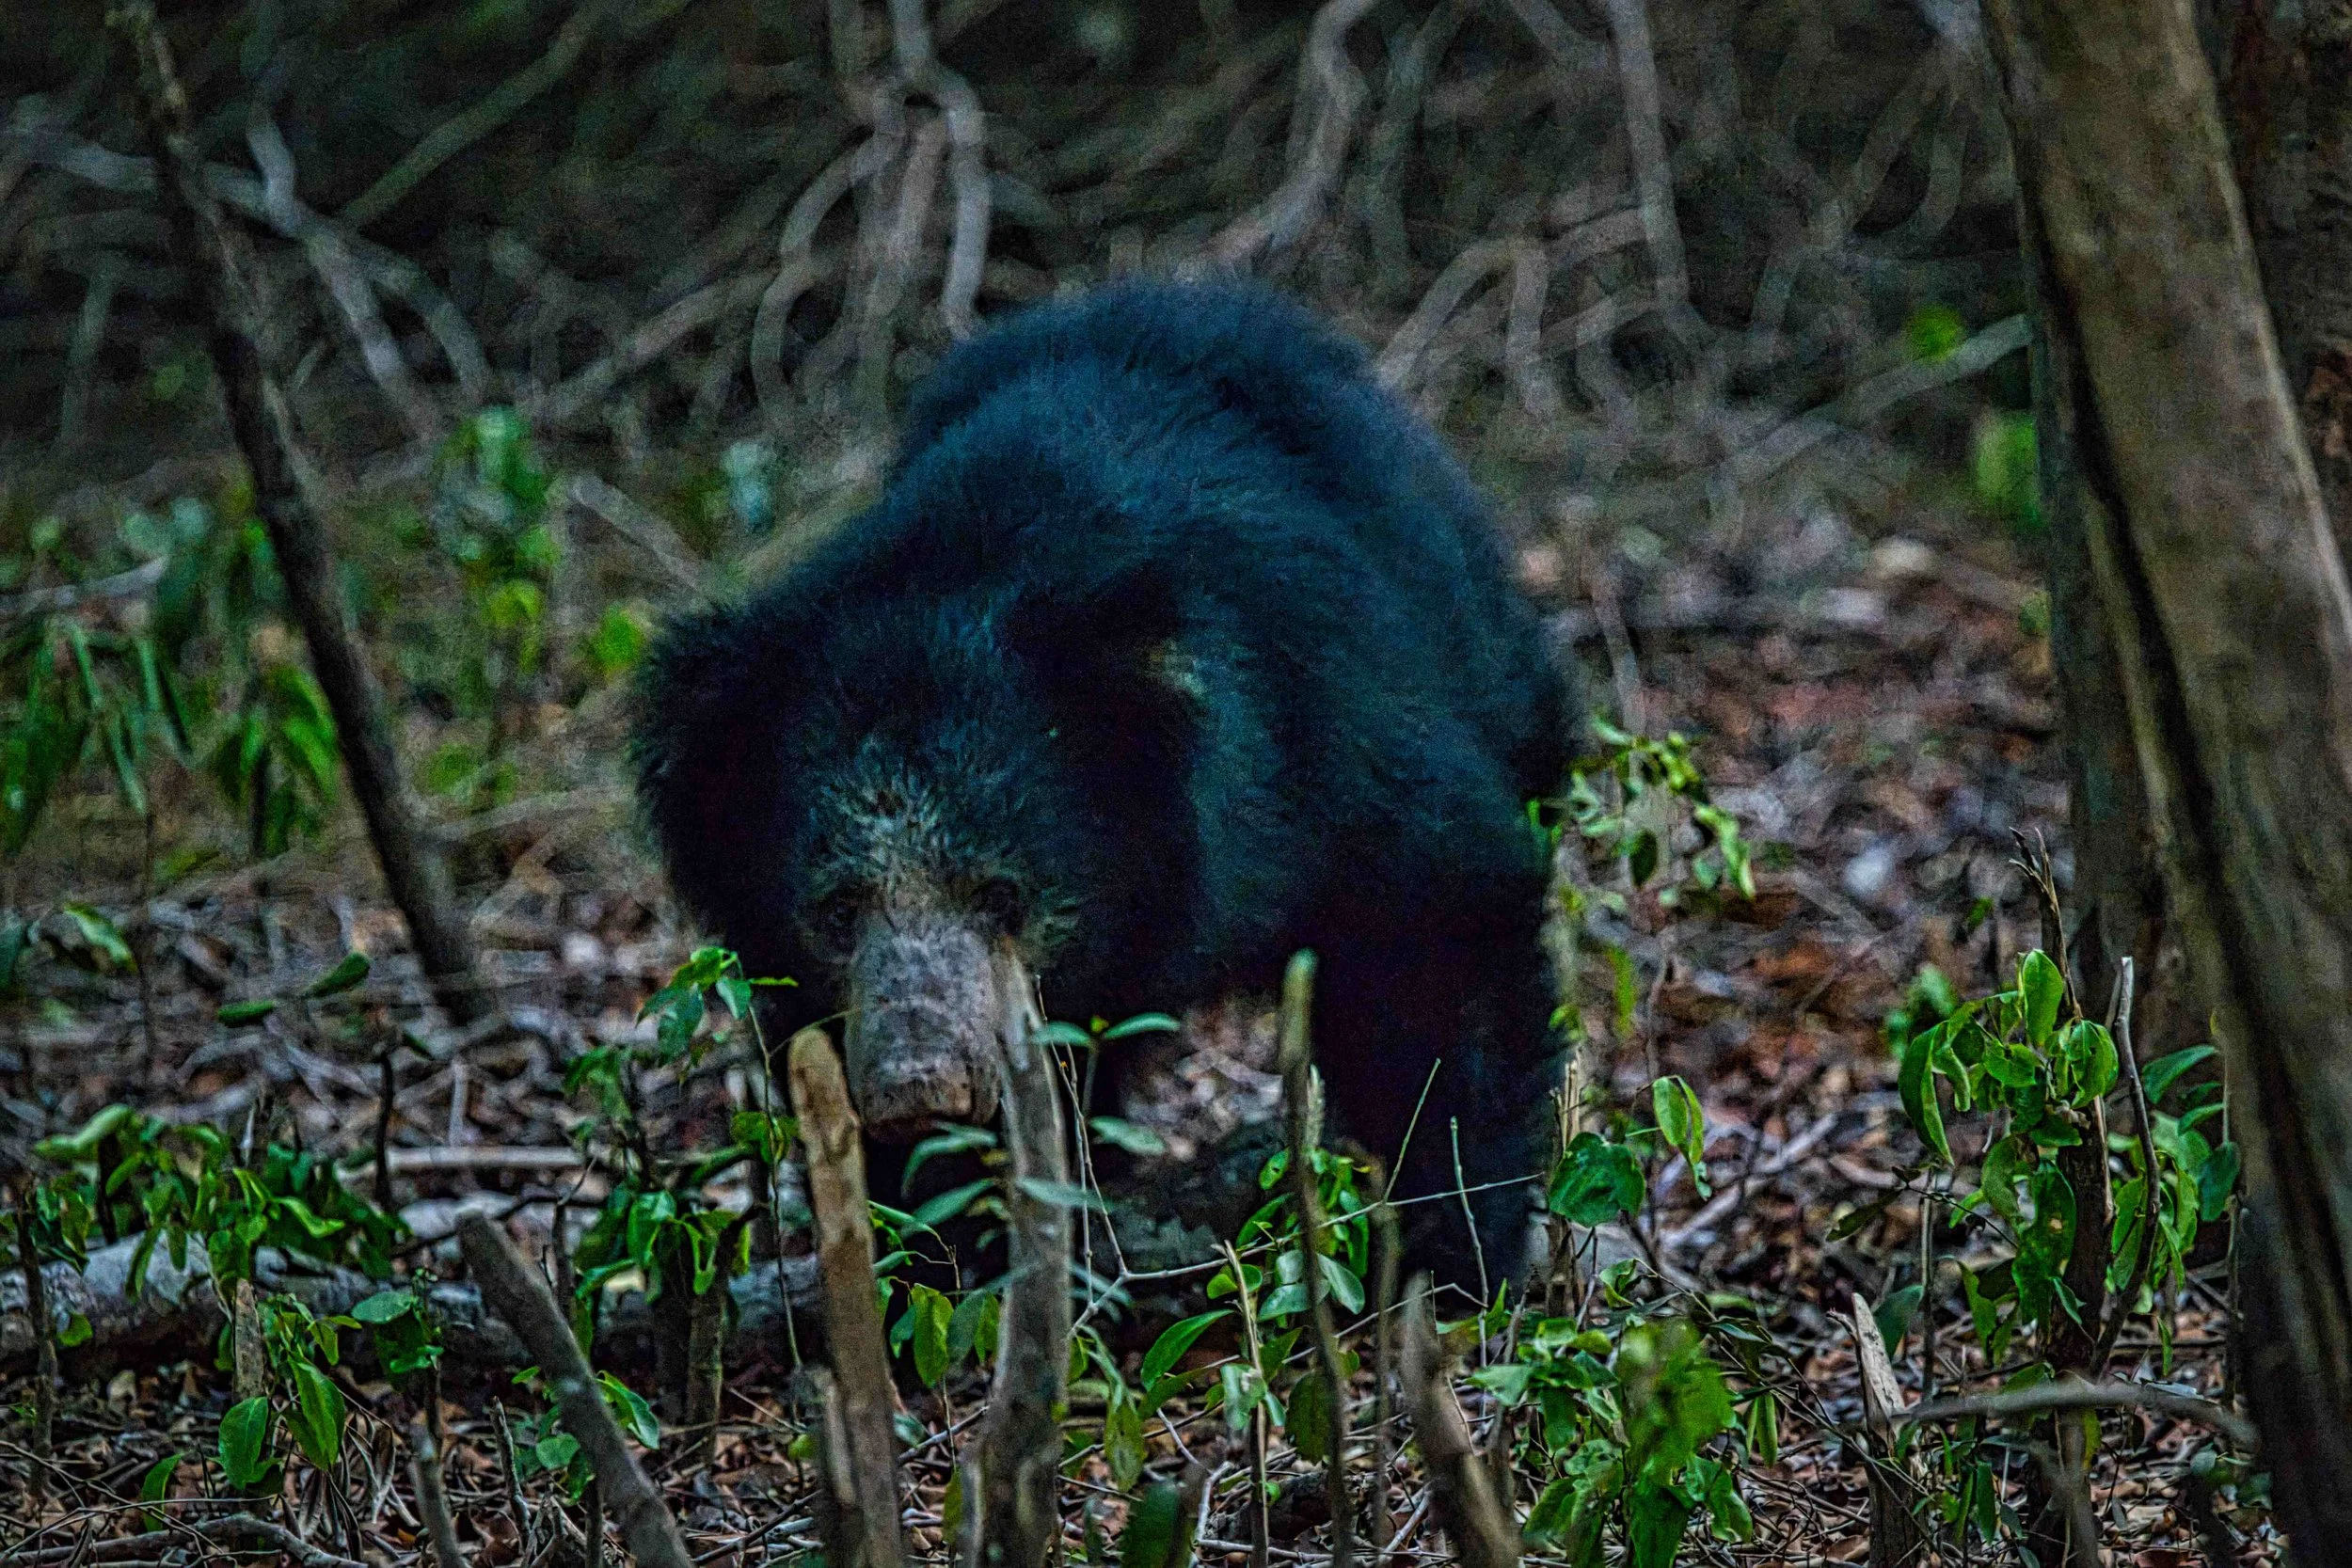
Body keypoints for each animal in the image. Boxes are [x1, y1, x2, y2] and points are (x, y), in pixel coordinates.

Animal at [633, 280, 1576, 1292]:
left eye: (1001, 893)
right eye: (838, 906)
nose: (921, 1082)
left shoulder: (1336, 739)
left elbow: (1438, 937)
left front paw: (1455, 1255)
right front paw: (950, 1256)